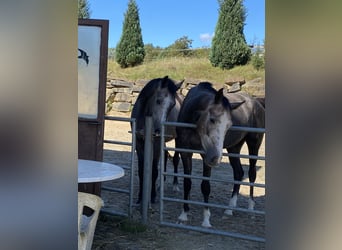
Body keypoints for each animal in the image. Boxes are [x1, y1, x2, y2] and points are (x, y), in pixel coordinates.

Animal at [131, 75, 183, 203]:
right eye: (158, 100)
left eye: (172, 105)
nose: (158, 130)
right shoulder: (139, 143)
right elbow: (141, 170)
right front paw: (140, 197)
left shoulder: (156, 144)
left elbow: (154, 170)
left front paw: (152, 196)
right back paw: (160, 185)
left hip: (178, 140)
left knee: (176, 159)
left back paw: (175, 185)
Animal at [176, 83, 243, 228]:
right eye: (212, 119)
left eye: (229, 125)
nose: (215, 158)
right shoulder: (185, 152)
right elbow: (187, 182)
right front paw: (184, 214)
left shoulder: (205, 156)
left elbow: (205, 186)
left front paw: (206, 219)